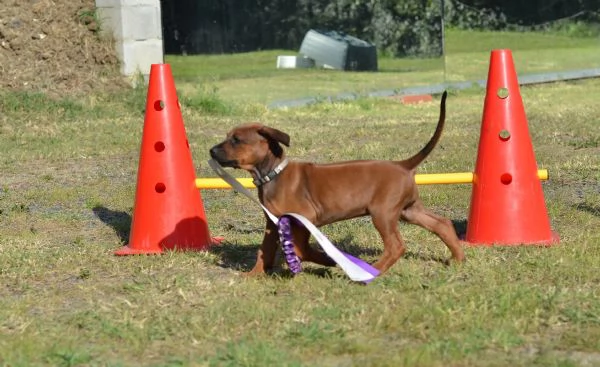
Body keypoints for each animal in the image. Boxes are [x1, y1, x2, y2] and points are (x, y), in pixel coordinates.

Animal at [210, 92, 464, 276]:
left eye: (236, 140)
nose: (211, 151)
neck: (272, 174)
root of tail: (402, 165)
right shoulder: (273, 224)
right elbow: (264, 250)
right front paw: (254, 276)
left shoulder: (305, 218)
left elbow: (300, 248)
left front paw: (327, 260)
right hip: (408, 210)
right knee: (442, 224)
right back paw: (458, 258)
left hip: (383, 212)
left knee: (396, 246)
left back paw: (372, 271)